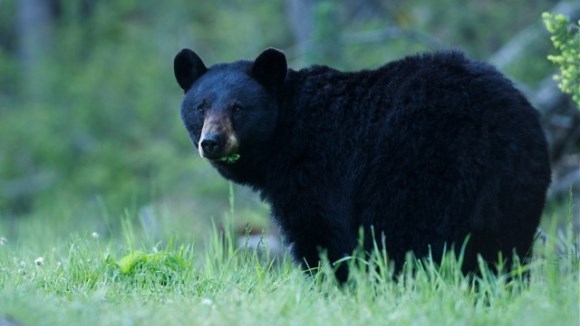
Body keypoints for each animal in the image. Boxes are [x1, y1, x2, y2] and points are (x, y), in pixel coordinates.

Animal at [172, 47, 548, 282]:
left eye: (238, 107)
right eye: (201, 107)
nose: (212, 142)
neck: (285, 131)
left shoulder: (317, 170)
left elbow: (321, 234)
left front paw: (331, 284)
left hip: (419, 171)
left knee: (411, 237)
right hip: (516, 189)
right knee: (503, 248)